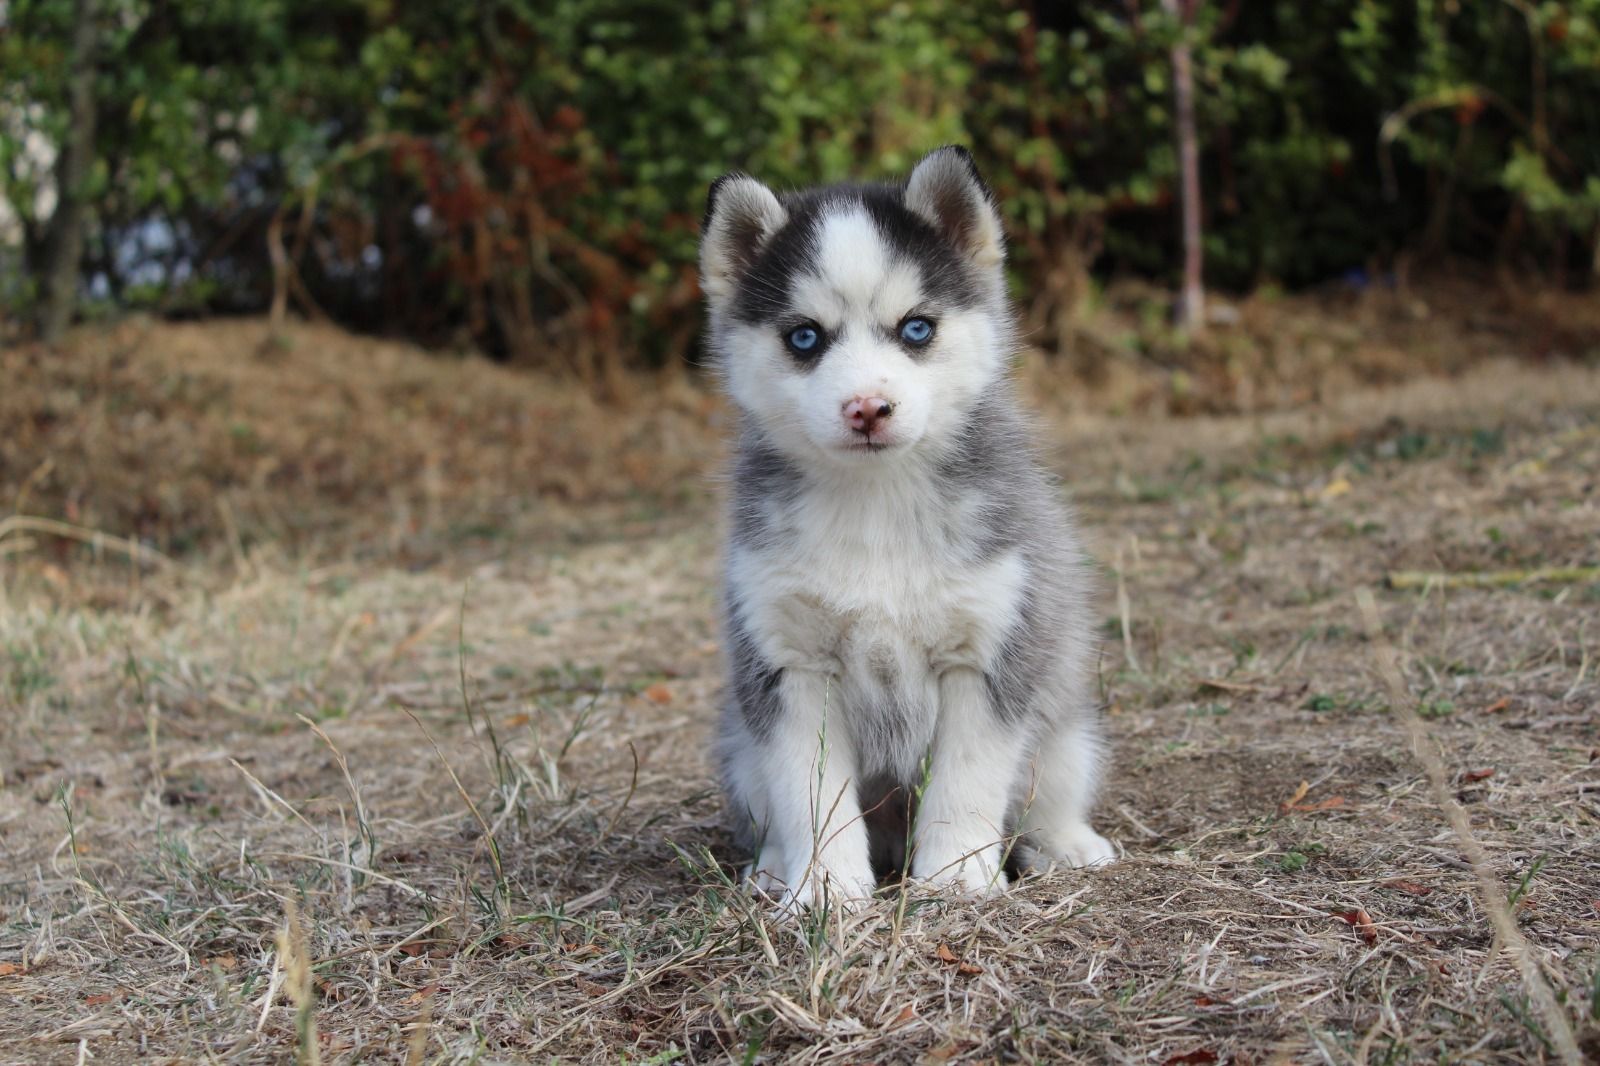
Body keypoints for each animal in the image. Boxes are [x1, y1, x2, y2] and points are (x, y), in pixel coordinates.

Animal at [700, 146, 1115, 908]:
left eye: (916, 328)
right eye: (805, 337)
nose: (867, 407)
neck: (876, 502)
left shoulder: (987, 652)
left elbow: (967, 779)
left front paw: (956, 876)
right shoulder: (791, 664)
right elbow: (810, 793)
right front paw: (824, 889)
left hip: (1065, 730)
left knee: (1049, 791)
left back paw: (1066, 843)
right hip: (741, 748)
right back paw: (774, 867)